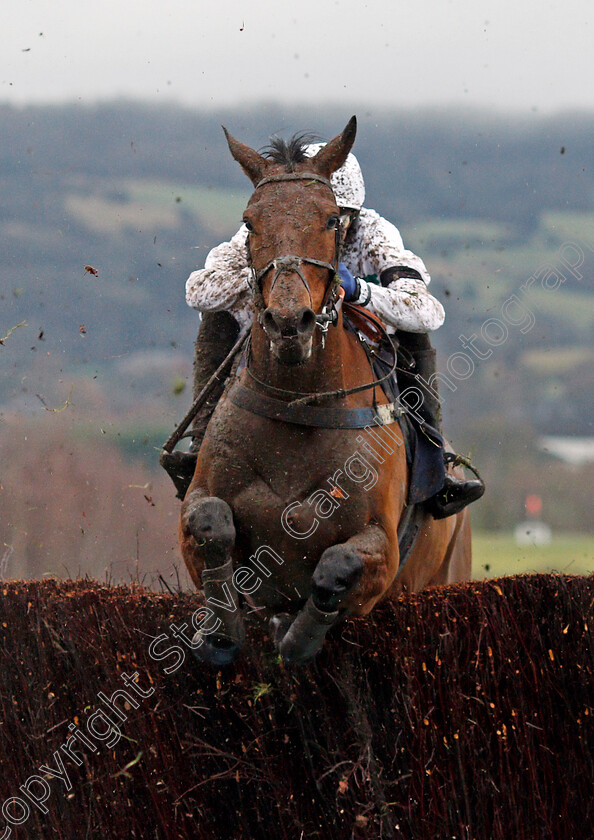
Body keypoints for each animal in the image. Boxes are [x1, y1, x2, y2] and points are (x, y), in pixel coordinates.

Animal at [178, 118, 470, 668]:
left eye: (332, 219)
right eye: (249, 221)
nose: (289, 321)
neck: (299, 408)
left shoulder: (382, 550)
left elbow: (337, 564)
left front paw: (297, 637)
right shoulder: (198, 507)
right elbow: (210, 523)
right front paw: (222, 631)